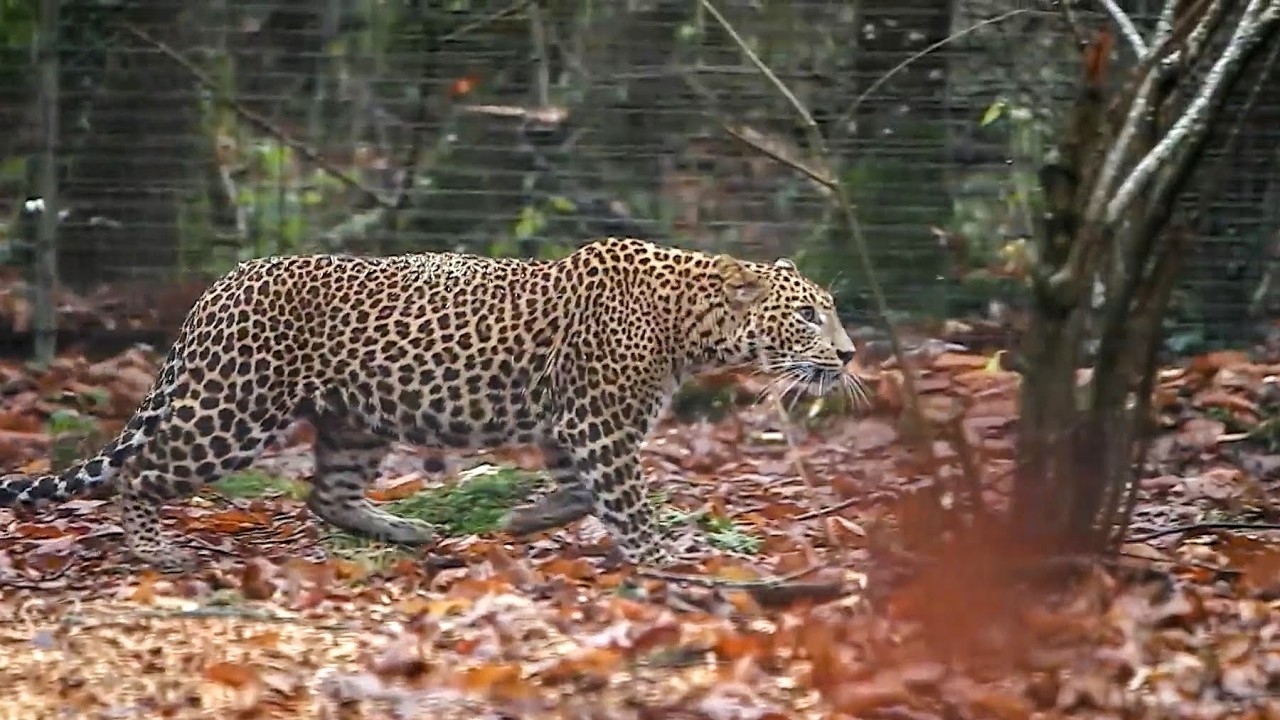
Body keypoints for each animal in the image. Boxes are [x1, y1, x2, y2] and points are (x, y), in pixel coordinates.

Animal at [0, 238, 865, 568]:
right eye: (807, 314)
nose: (851, 354)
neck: (692, 324)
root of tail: (217, 288)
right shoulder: (597, 423)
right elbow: (623, 499)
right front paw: (663, 557)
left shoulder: (572, 427)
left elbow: (577, 491)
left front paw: (522, 519)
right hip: (231, 409)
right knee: (140, 472)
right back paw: (154, 549)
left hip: (353, 421)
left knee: (326, 495)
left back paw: (409, 531)